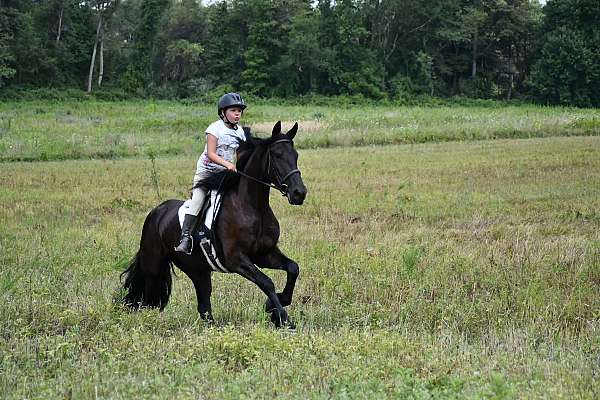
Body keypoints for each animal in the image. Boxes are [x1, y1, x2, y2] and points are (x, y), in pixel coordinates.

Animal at [120, 120, 308, 326]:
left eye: (296, 155)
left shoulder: (264, 254)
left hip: (197, 269)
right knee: (145, 297)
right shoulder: (236, 259)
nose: (299, 193)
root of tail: (156, 212)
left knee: (203, 304)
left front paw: (275, 306)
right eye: (277, 155)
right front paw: (282, 318)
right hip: (153, 267)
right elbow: (267, 282)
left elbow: (293, 268)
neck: (252, 207)